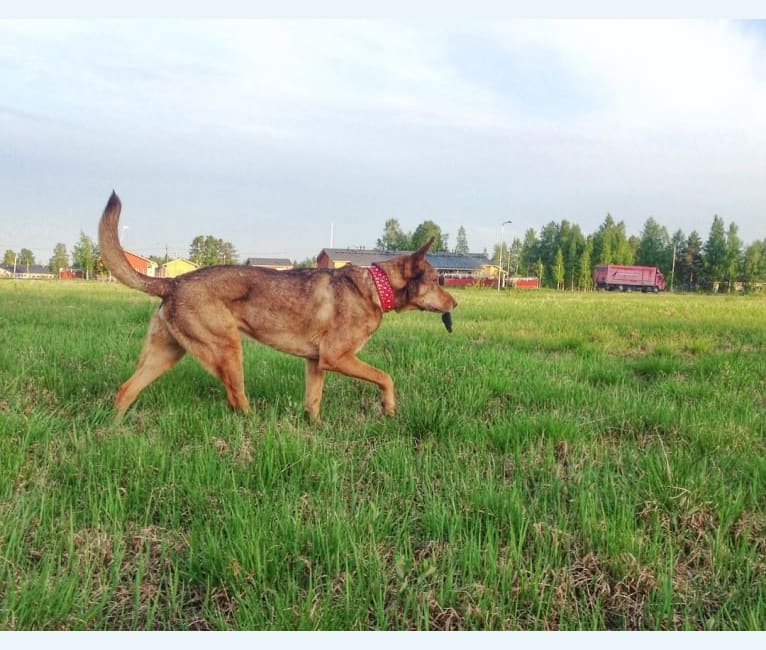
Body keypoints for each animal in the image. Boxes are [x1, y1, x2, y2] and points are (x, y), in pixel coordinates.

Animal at [96, 189, 456, 420]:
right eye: (437, 280)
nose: (456, 302)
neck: (376, 288)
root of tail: (172, 282)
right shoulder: (337, 357)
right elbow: (386, 377)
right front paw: (390, 409)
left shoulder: (315, 364)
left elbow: (313, 403)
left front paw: (316, 429)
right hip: (227, 350)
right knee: (236, 398)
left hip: (166, 353)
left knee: (125, 390)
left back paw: (113, 432)